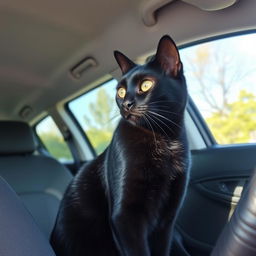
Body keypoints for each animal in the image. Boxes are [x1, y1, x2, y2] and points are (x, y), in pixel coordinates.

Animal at [50, 35, 190, 256]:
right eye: (121, 91)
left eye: (146, 85)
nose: (126, 104)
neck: (163, 140)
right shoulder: (124, 217)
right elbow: (137, 251)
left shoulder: (167, 220)